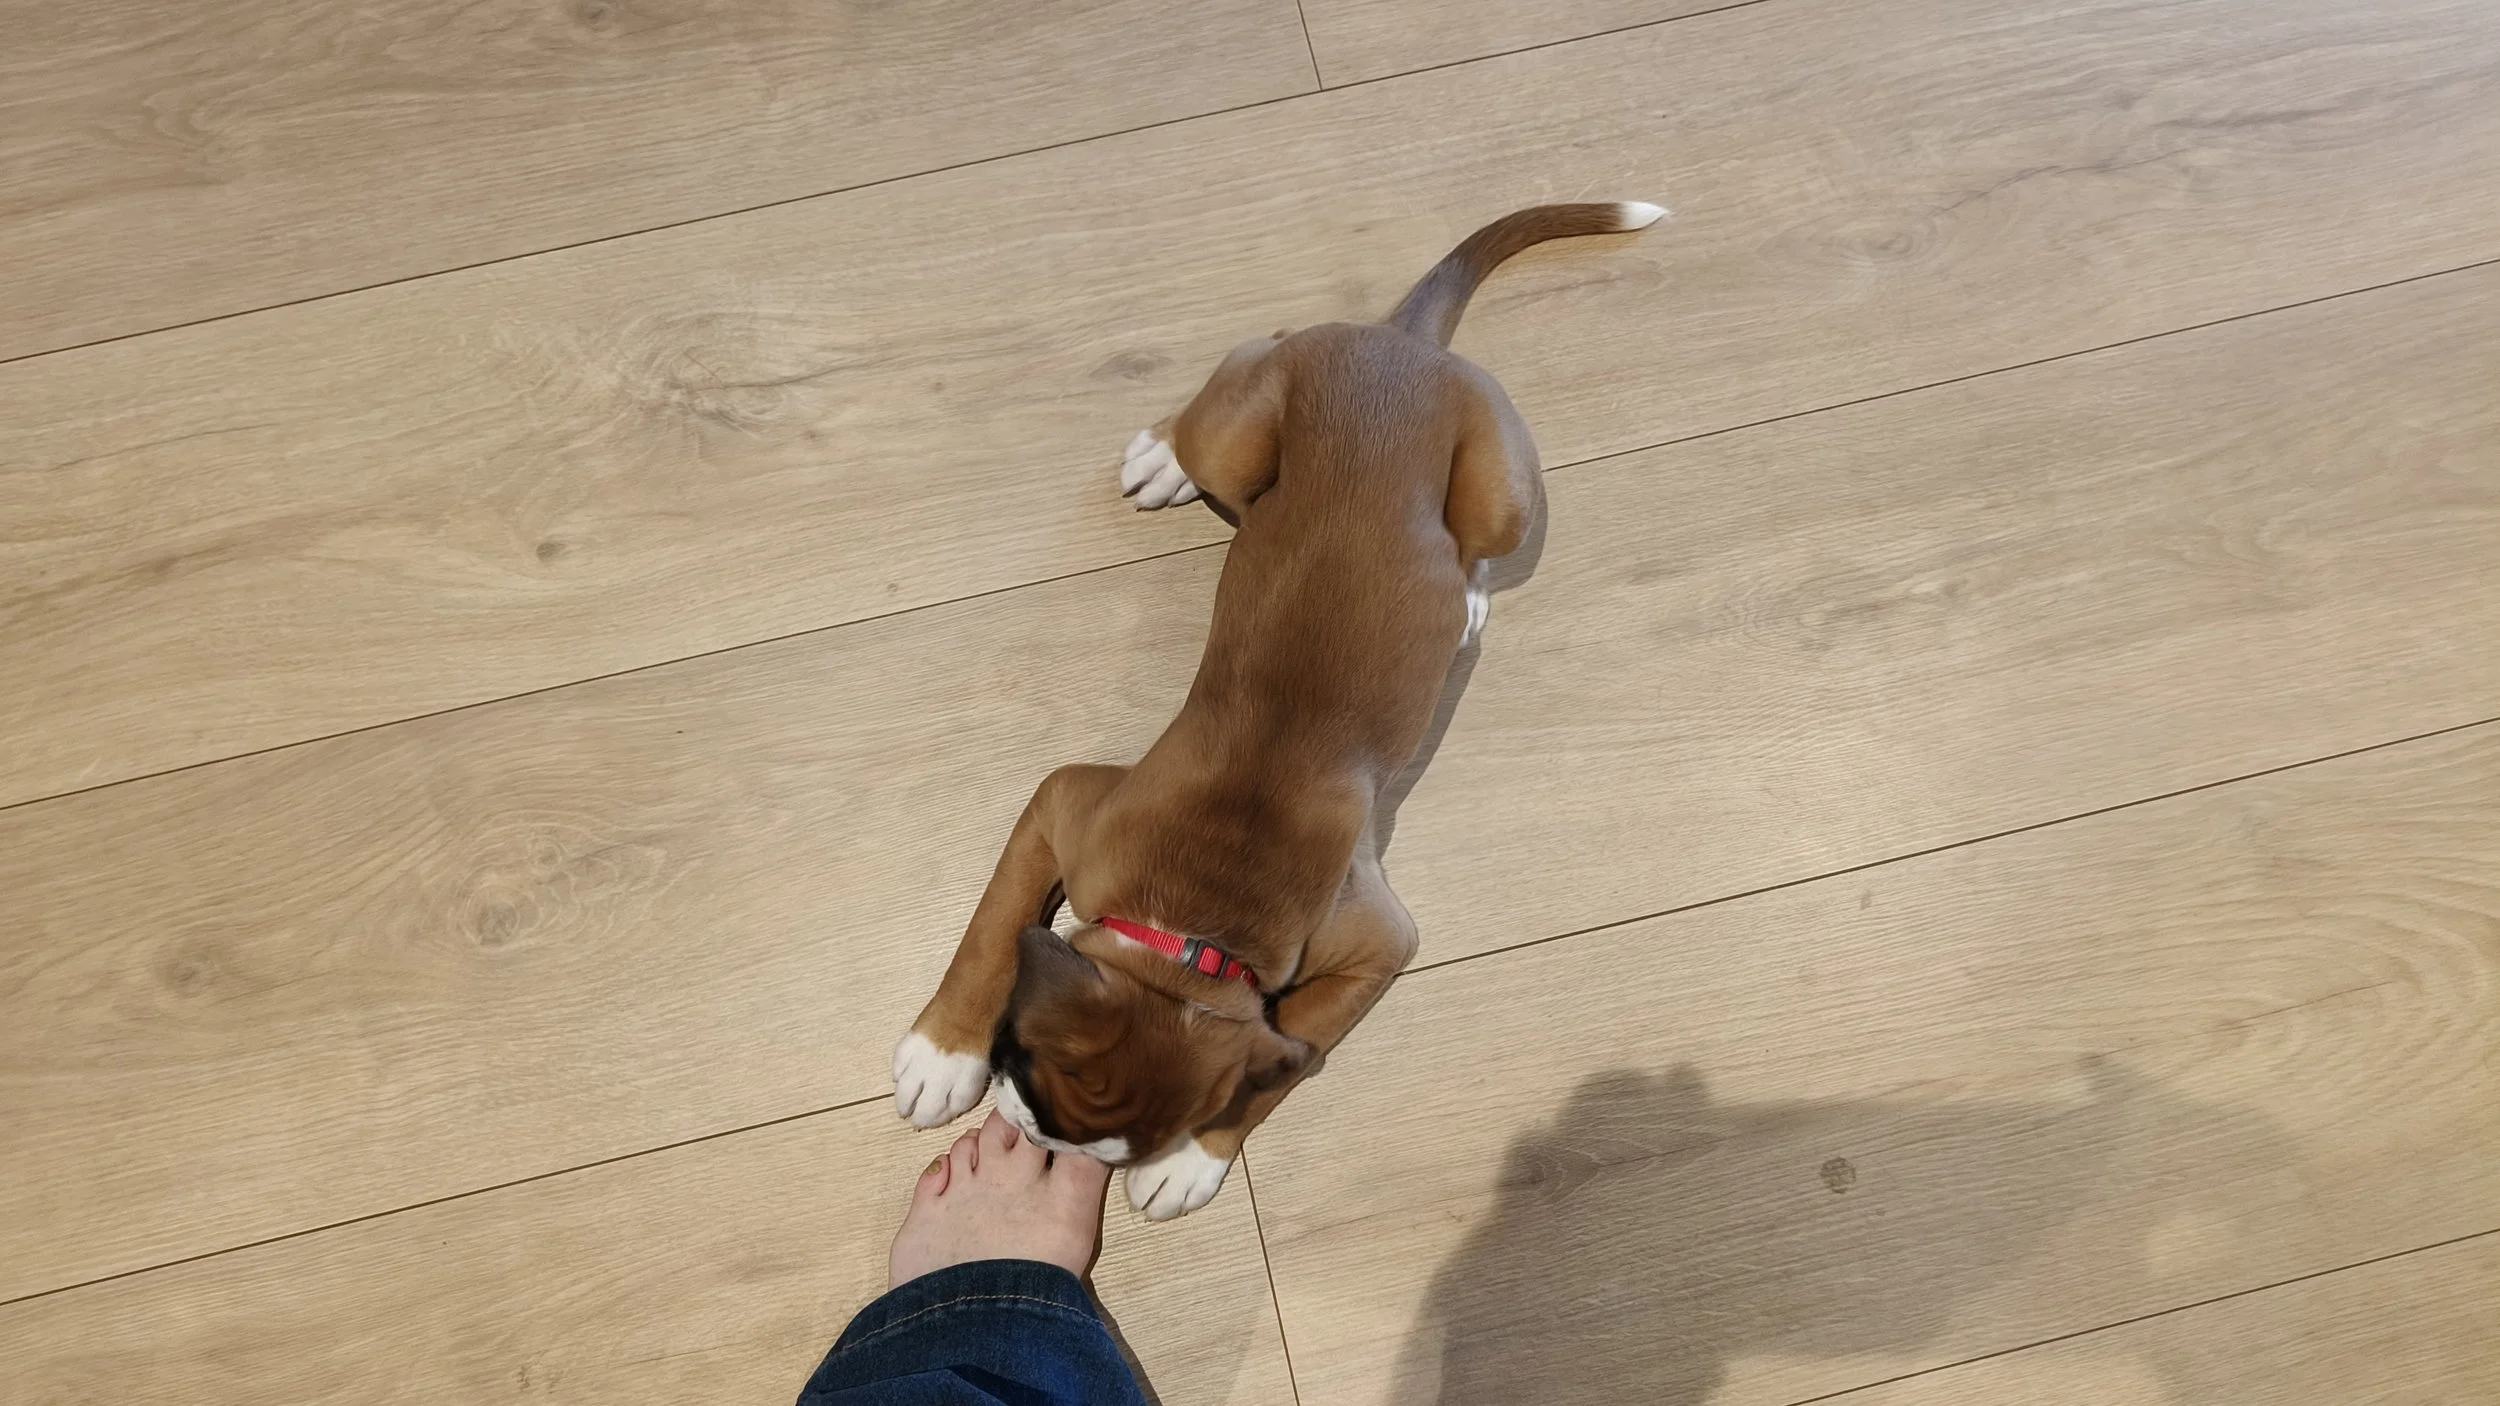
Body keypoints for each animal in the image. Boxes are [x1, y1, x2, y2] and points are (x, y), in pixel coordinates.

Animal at [893, 202, 1665, 1219]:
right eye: (1019, 1066)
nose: (1038, 1143)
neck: (1197, 924)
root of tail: (1400, 345)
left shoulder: (1375, 947)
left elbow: (1286, 1055)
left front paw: (1195, 1158)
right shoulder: (1062, 802)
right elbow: (991, 929)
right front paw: (943, 1052)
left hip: (1502, 496)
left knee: (1474, 544)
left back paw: (1465, 603)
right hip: (1254, 436)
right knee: (1242, 378)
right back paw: (1162, 453)